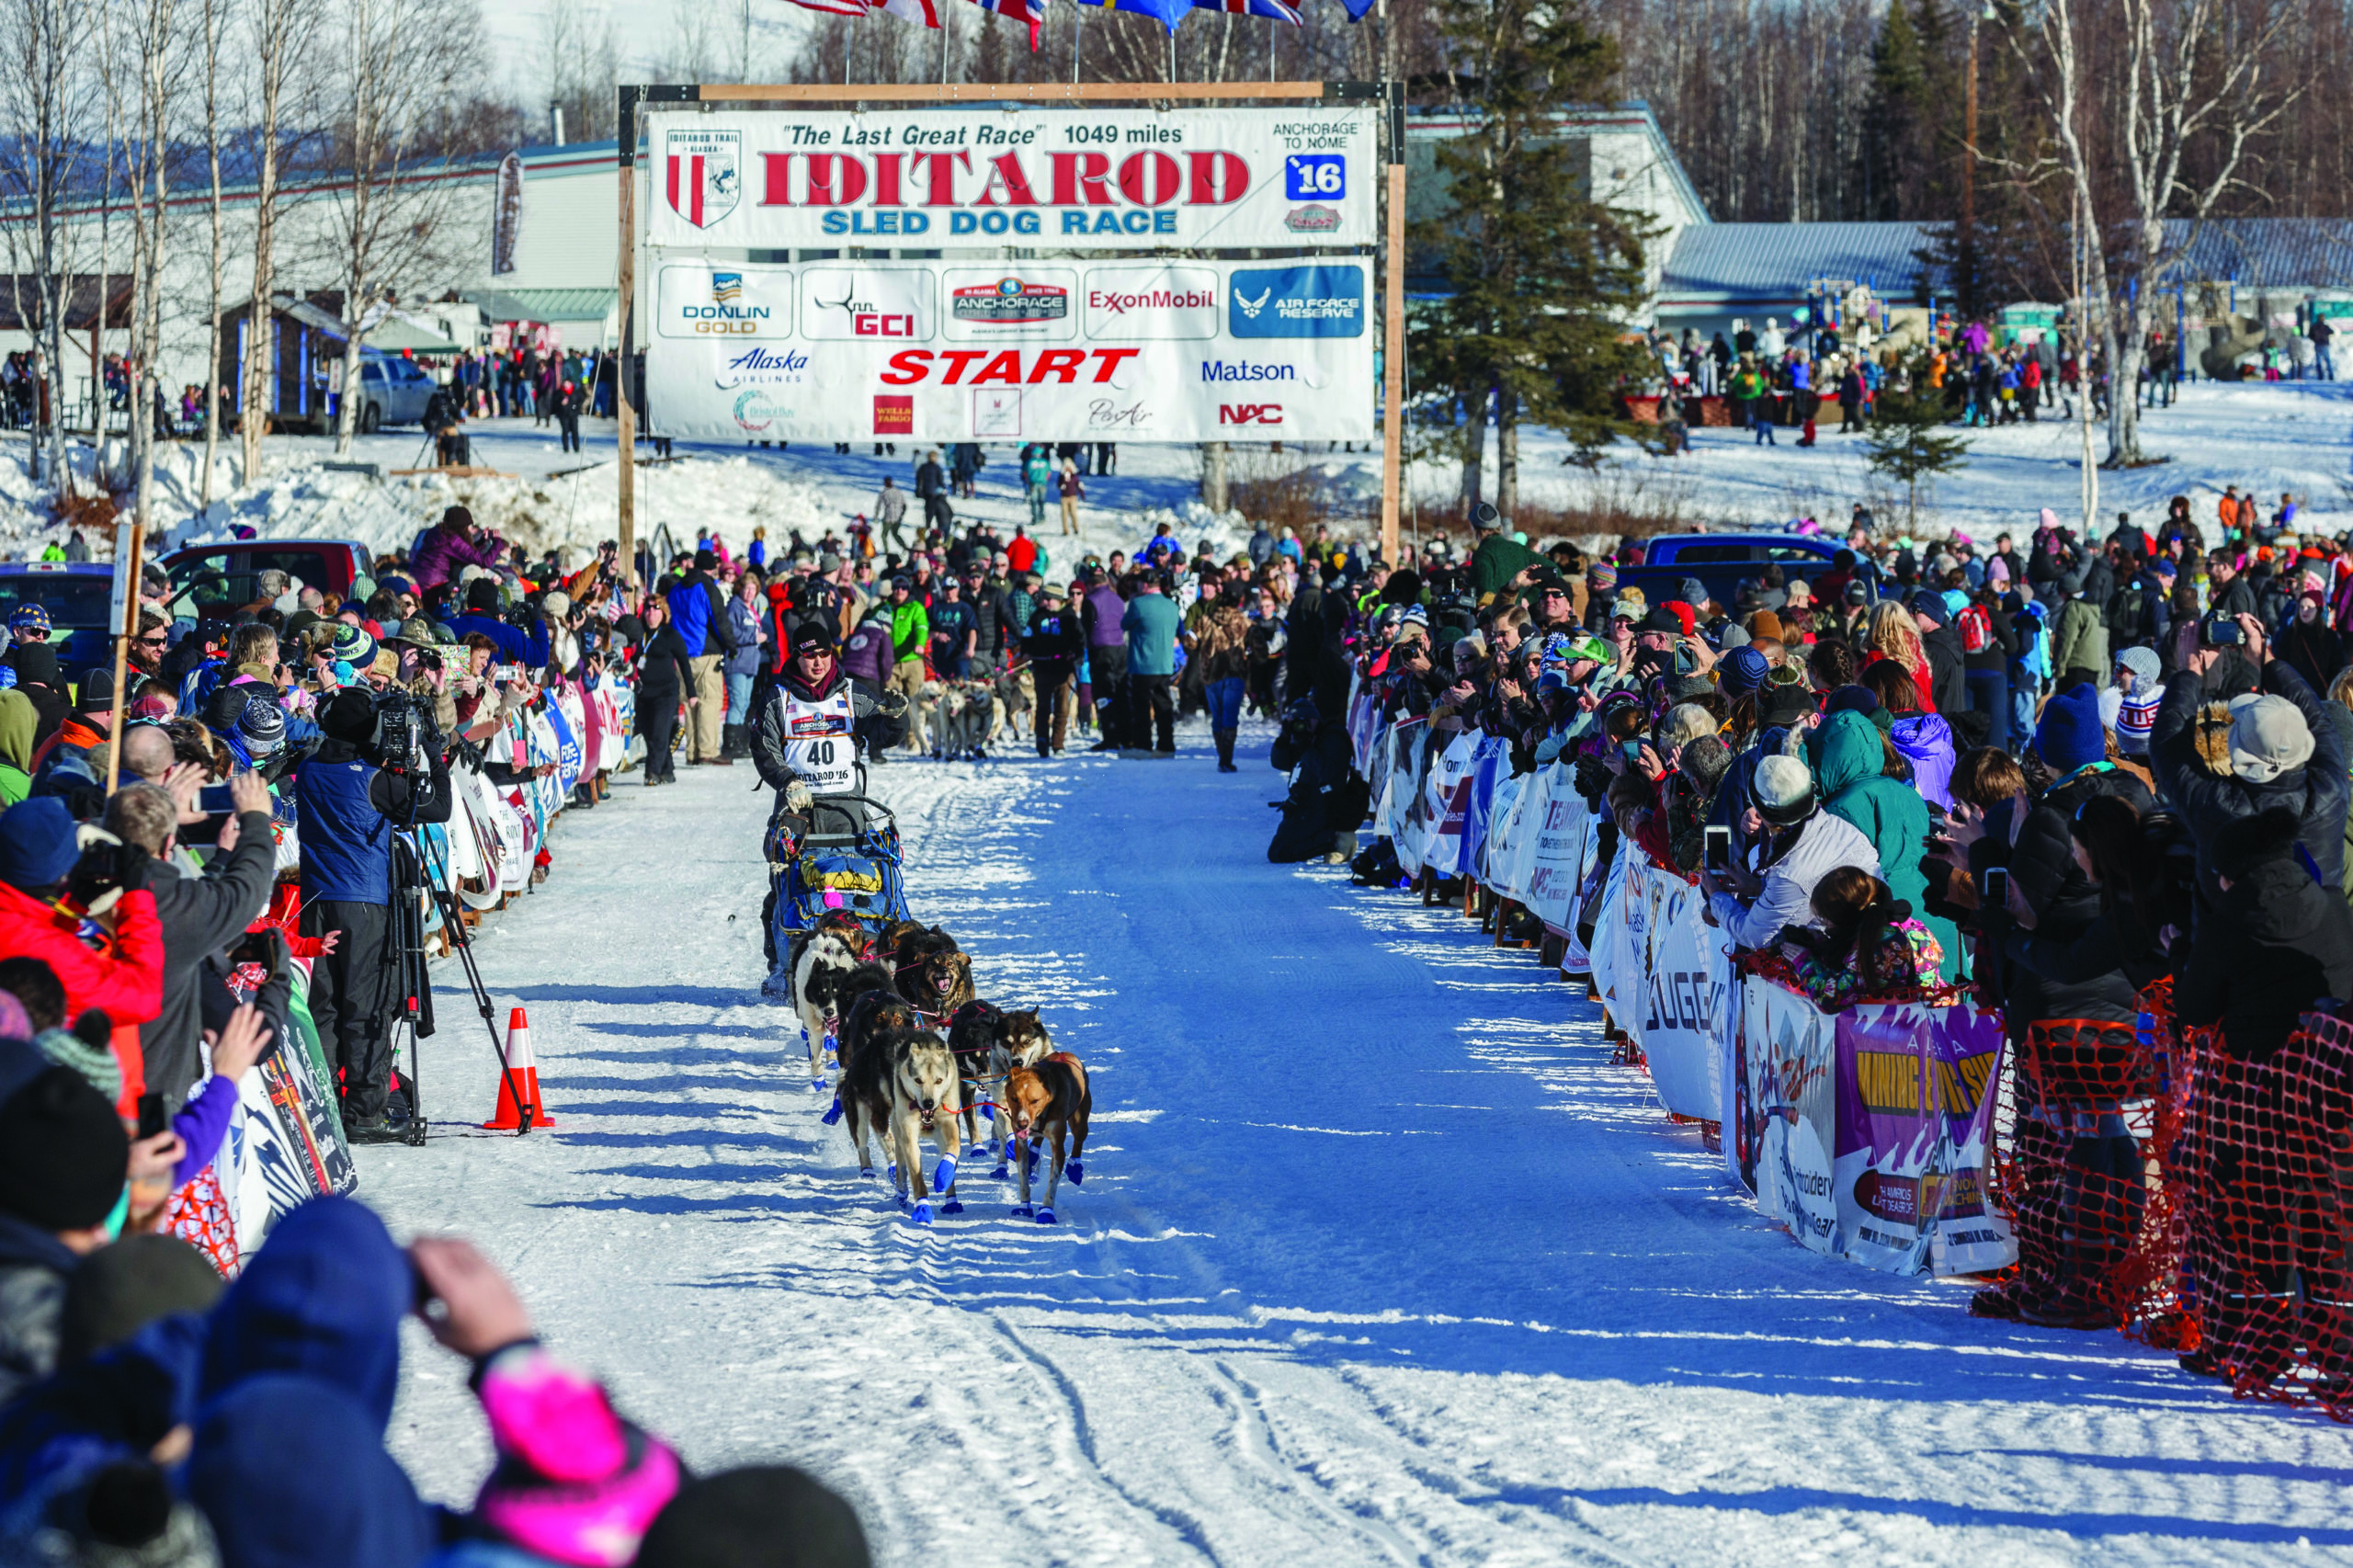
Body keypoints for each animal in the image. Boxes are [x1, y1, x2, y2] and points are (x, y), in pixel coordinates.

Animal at [1002, 1050, 1091, 1224]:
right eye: (1014, 1098)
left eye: (1034, 1100)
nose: (1022, 1123)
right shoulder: (1020, 1143)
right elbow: (1023, 1178)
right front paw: (1024, 1206)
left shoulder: (1058, 1146)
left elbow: (1052, 1182)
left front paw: (1047, 1211)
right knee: (1038, 1139)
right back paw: (1034, 1153)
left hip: (1079, 1120)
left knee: (1078, 1140)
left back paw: (1075, 1168)